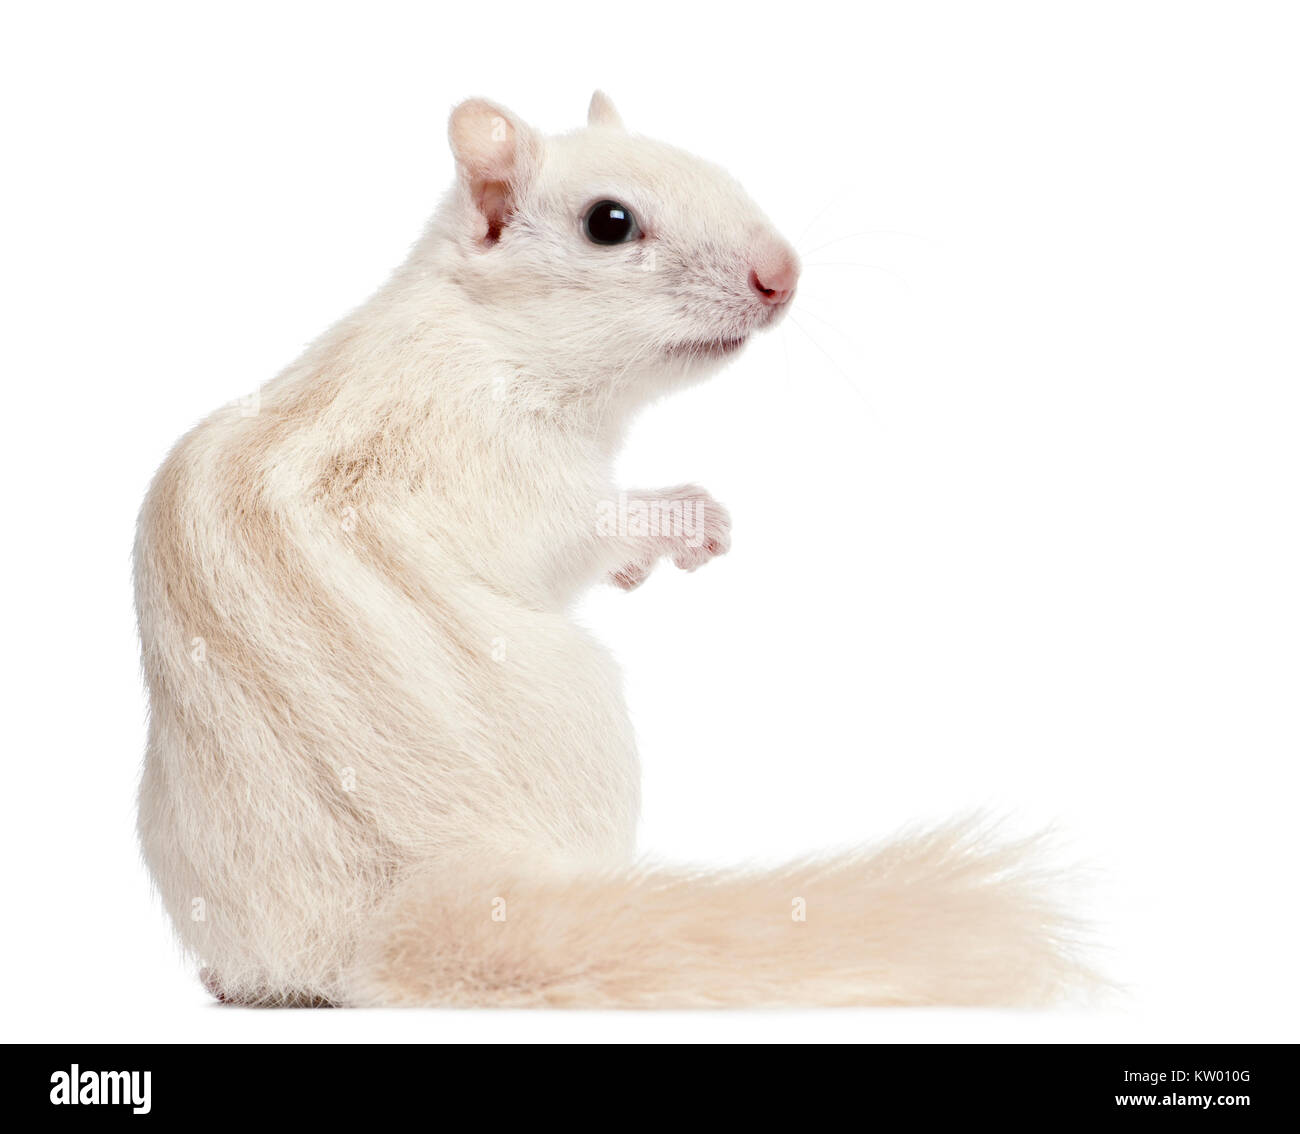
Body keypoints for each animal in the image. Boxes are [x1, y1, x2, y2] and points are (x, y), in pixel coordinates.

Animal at [134, 92, 1086, 1003]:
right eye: (609, 223)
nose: (782, 275)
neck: (484, 329)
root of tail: (407, 896)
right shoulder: (496, 459)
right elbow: (578, 532)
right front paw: (685, 521)